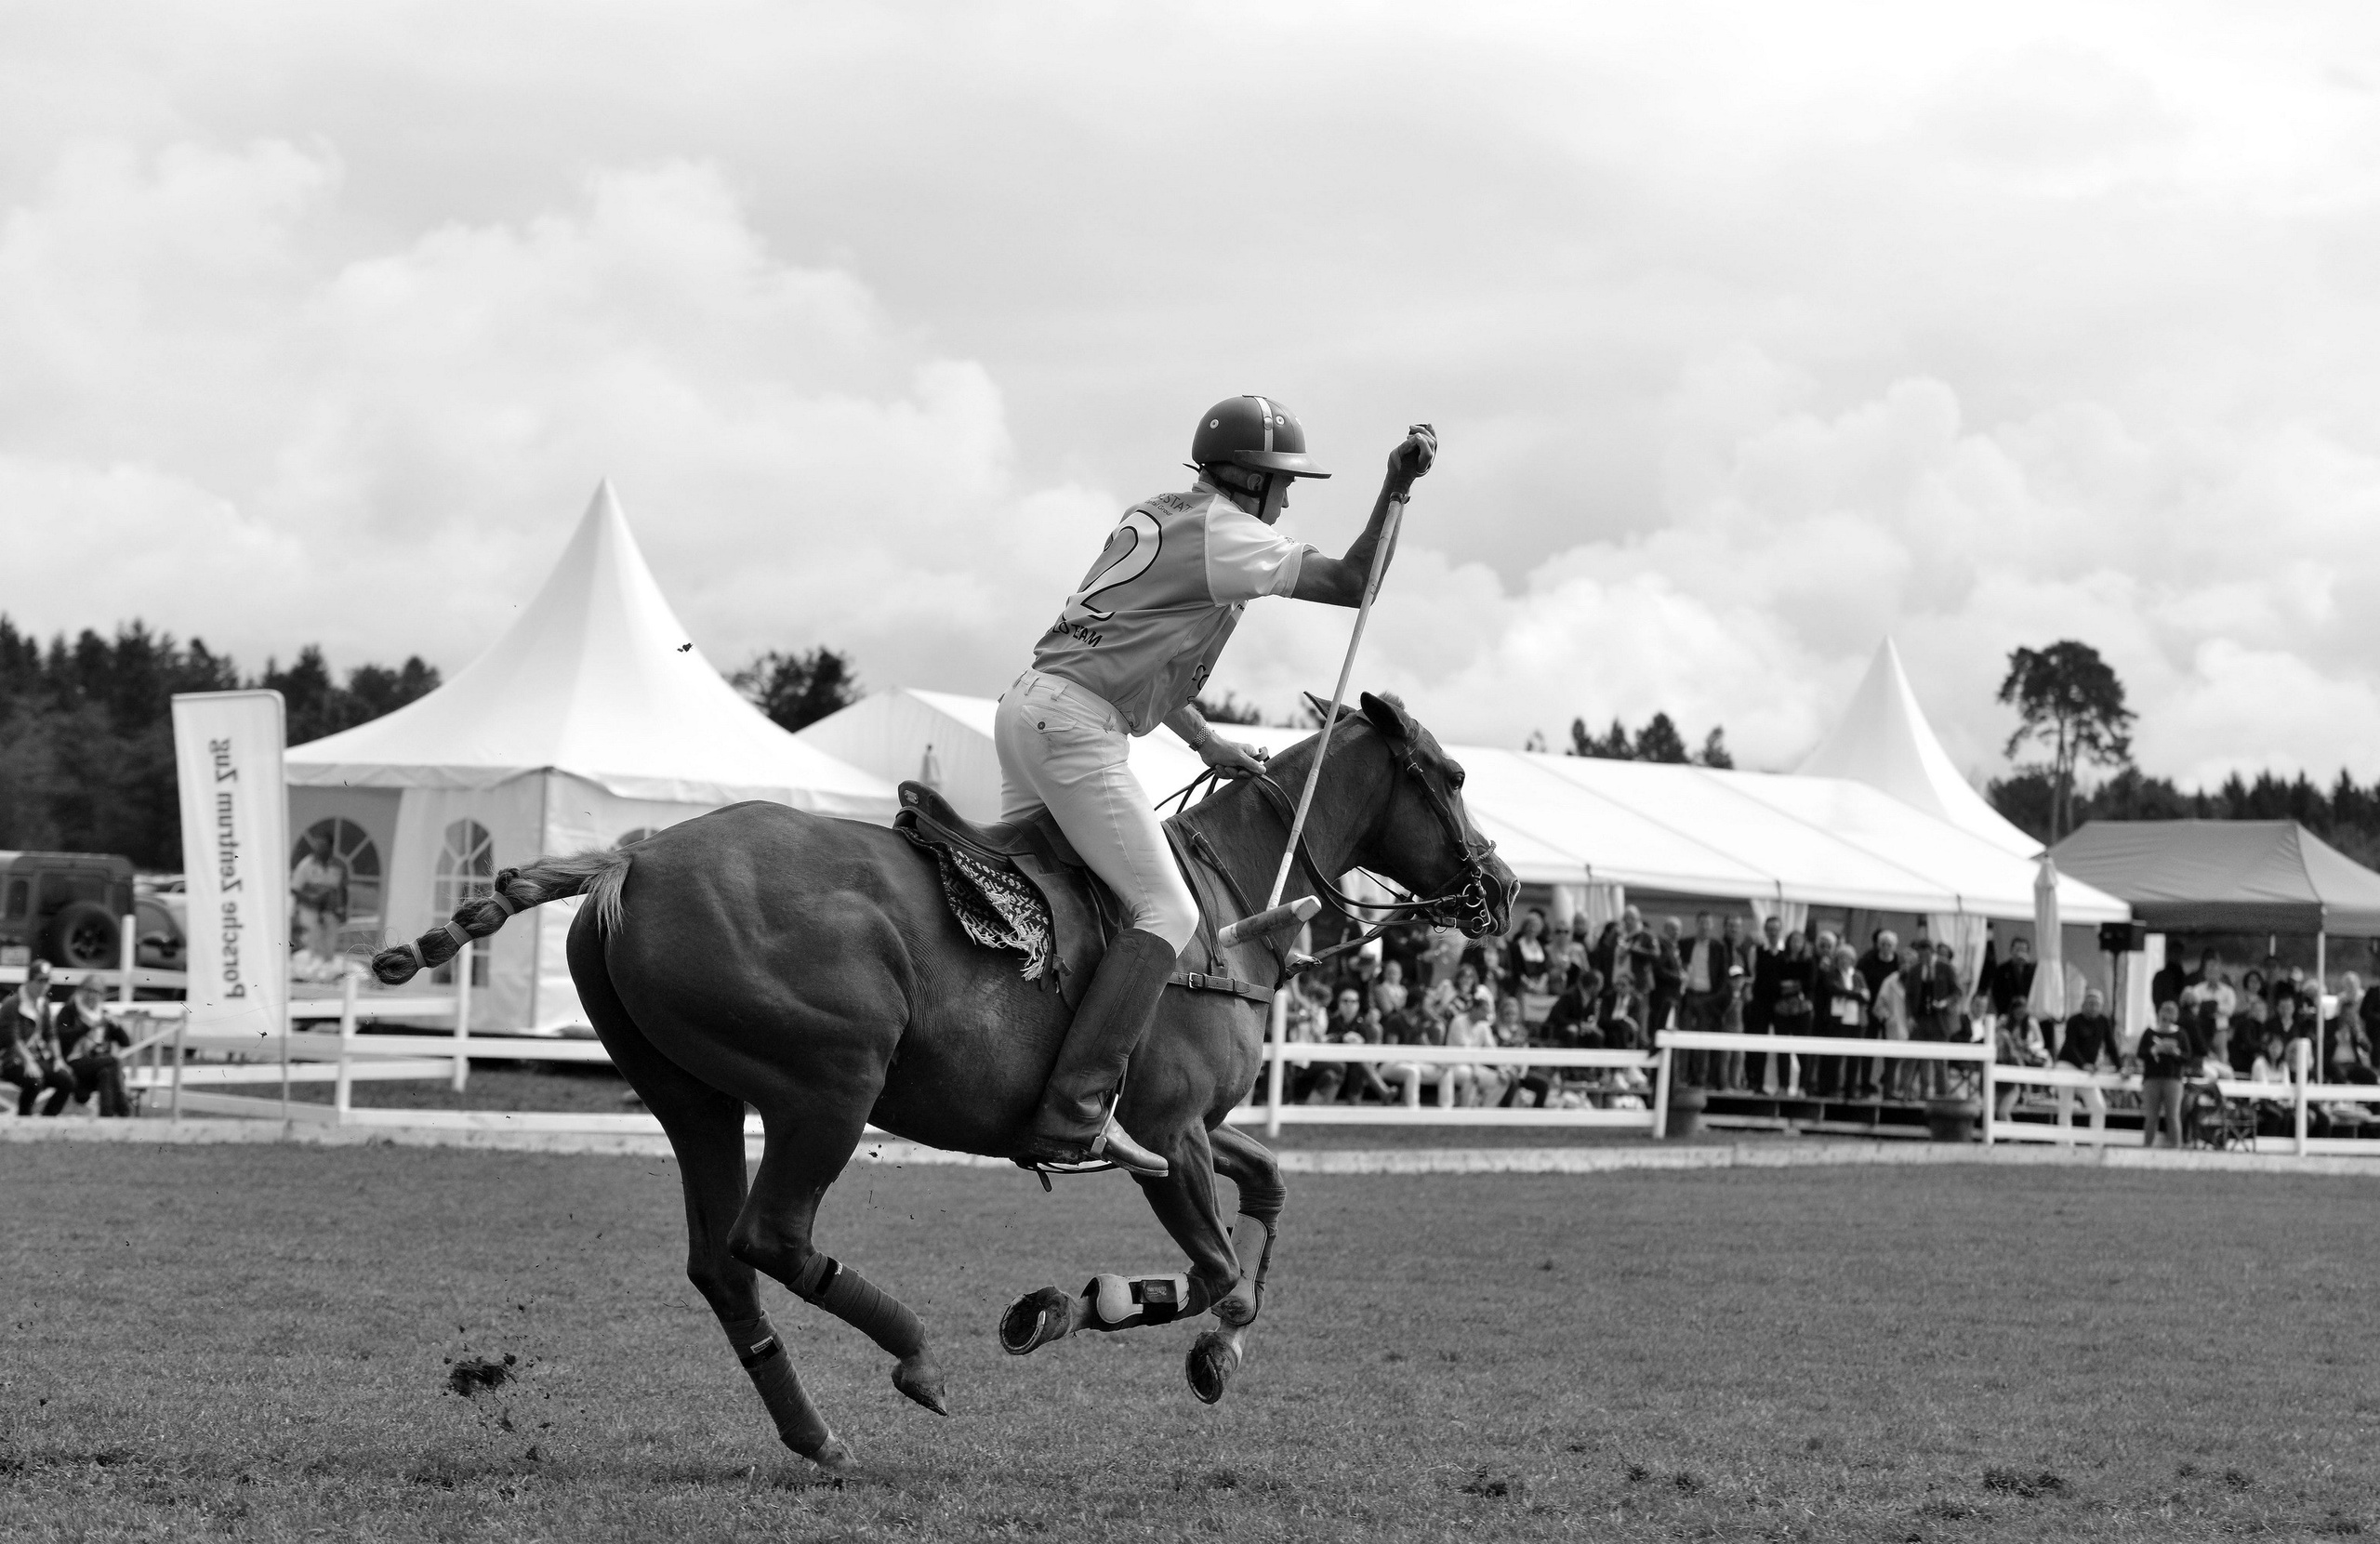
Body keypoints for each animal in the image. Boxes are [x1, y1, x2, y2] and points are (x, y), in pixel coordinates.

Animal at [371, 691, 1514, 1474]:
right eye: (1453, 775)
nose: (1500, 886)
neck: (1233, 904)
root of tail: (630, 860)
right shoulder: (1163, 1128)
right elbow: (1224, 1272)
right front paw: (1143, 1328)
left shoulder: (1183, 1128)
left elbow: (1265, 1191)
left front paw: (1103, 1314)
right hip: (828, 1083)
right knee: (770, 1236)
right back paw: (915, 1357)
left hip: (694, 1097)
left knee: (721, 1263)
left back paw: (818, 1436)